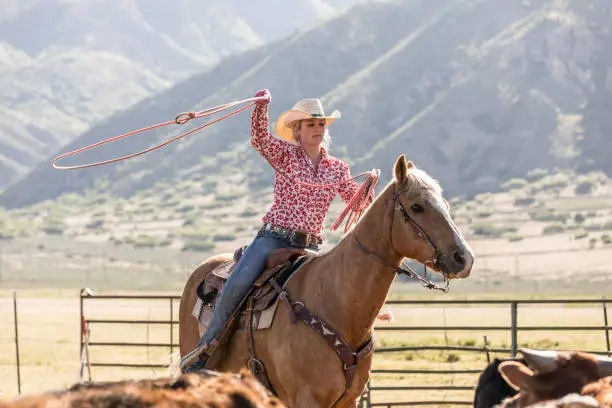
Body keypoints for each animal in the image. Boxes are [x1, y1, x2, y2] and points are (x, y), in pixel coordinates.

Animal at [179, 156, 476, 408]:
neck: (337, 302)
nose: (464, 259)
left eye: (446, 205)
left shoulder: (348, 401)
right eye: (417, 206)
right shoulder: (307, 399)